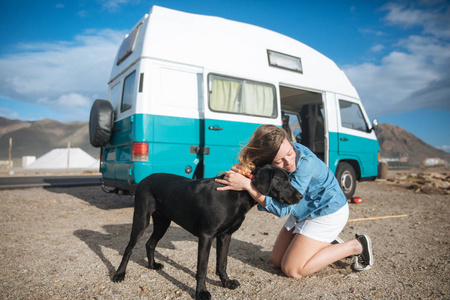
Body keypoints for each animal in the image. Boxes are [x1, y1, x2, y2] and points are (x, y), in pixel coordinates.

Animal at [112, 165, 302, 298]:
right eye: (283, 181)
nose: (300, 197)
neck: (236, 194)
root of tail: (143, 180)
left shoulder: (225, 236)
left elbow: (222, 263)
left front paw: (226, 282)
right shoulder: (206, 236)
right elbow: (202, 269)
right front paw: (201, 292)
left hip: (162, 222)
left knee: (150, 243)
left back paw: (152, 265)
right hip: (141, 220)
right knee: (128, 249)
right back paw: (119, 274)